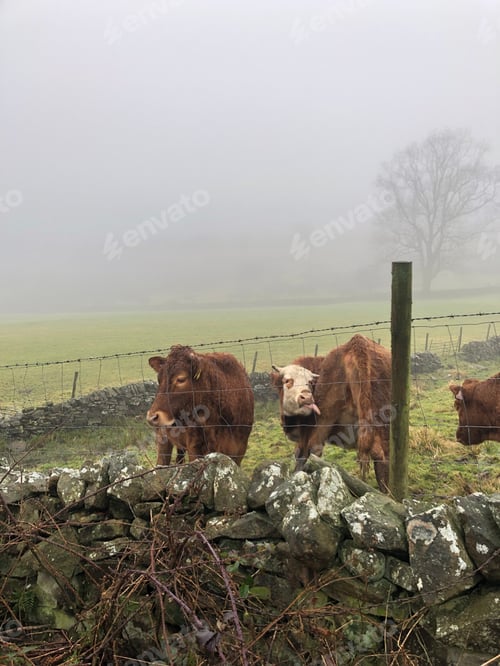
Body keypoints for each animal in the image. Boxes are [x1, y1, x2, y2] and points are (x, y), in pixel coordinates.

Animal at [271, 334, 392, 492]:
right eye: (287, 380)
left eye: (309, 382)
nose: (307, 398)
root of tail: (357, 343)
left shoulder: (305, 435)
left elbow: (300, 456)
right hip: (382, 422)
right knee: (382, 455)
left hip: (324, 420)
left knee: (314, 451)